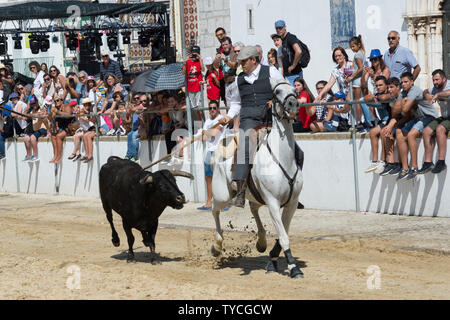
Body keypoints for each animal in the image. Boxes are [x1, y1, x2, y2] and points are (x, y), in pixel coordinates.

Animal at [210, 79, 302, 278]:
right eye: (277, 92)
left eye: (295, 89)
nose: (293, 104)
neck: (282, 158)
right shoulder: (273, 203)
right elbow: (283, 236)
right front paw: (293, 267)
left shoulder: (291, 203)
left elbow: (283, 233)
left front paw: (273, 259)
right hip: (222, 195)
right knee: (215, 210)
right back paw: (217, 246)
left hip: (254, 196)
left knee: (253, 208)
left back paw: (261, 241)